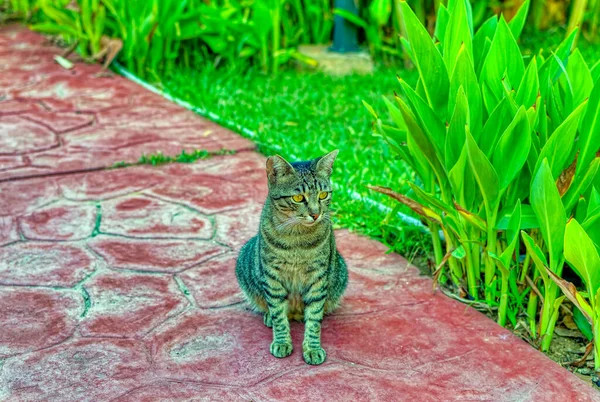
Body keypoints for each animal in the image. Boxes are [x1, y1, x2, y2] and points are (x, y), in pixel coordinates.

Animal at [234, 150, 346, 364]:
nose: (316, 214)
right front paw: (282, 341)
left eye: (323, 194)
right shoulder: (272, 277)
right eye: (298, 197)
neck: (297, 240)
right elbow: (279, 314)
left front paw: (312, 347)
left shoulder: (318, 277)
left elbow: (314, 318)